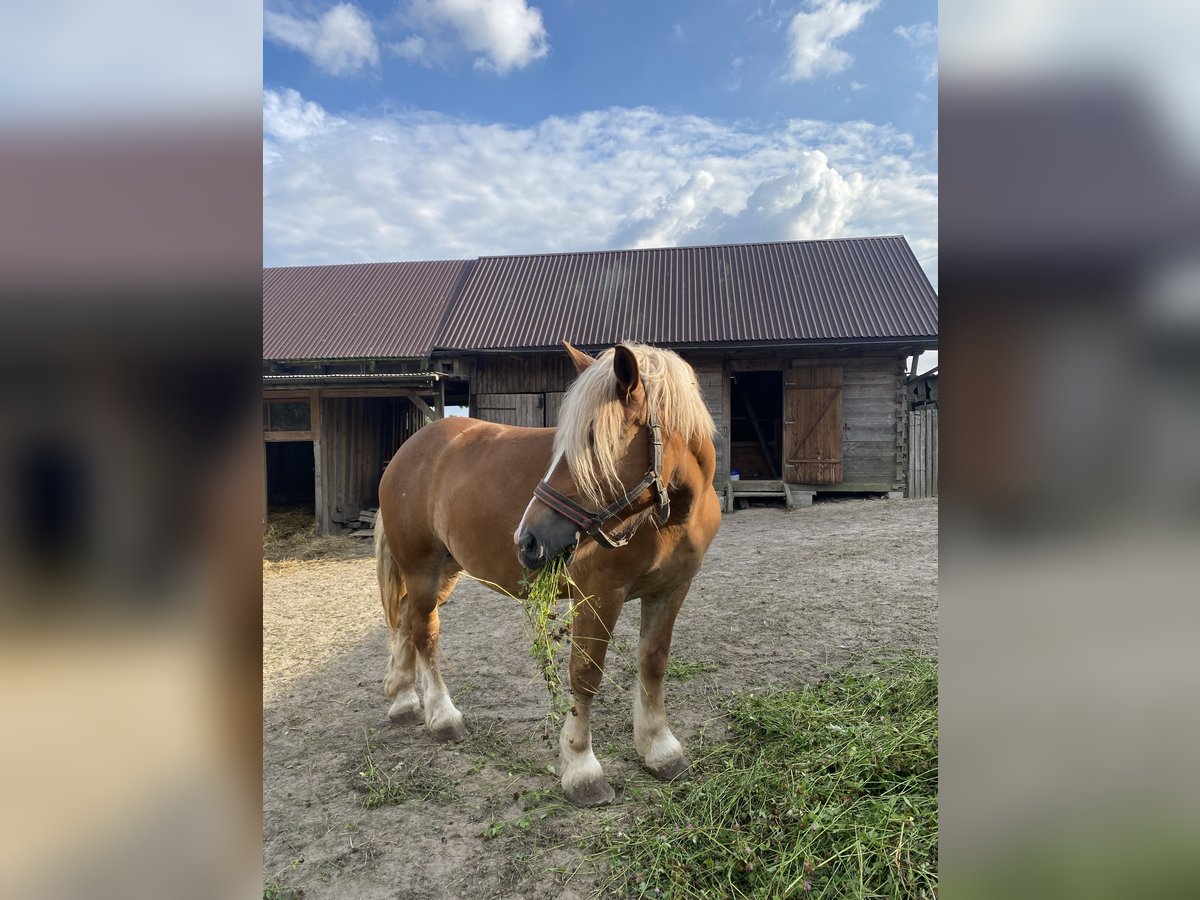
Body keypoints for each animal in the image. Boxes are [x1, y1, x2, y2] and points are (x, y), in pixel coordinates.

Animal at [372, 340, 720, 806]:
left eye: (592, 441)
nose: (527, 539)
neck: (668, 518)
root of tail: (409, 450)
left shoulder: (671, 590)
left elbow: (653, 665)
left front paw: (660, 749)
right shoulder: (599, 596)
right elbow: (585, 675)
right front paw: (581, 769)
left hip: (443, 570)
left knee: (408, 623)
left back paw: (405, 699)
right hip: (422, 569)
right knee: (424, 632)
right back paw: (443, 717)